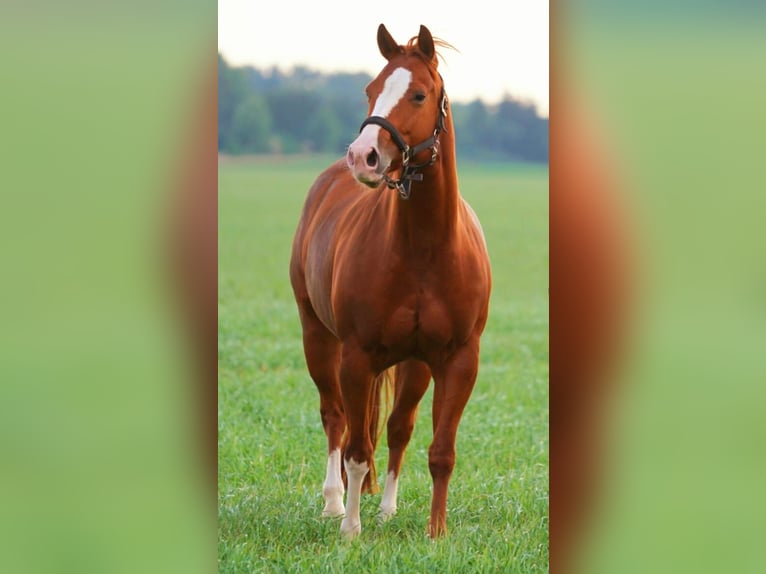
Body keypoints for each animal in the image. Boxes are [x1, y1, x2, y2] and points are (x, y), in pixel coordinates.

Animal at [292, 23, 496, 540]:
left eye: (419, 94)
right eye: (370, 90)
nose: (363, 157)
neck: (425, 249)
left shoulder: (457, 360)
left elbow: (438, 451)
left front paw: (436, 533)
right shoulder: (357, 356)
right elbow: (356, 448)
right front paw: (350, 531)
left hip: (414, 365)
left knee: (398, 427)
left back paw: (385, 508)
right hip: (318, 338)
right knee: (336, 418)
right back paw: (335, 503)